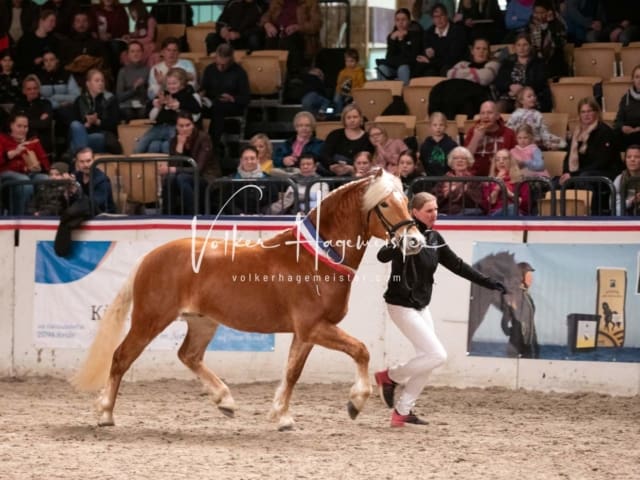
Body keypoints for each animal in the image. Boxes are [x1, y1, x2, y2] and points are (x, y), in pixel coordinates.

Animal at [71, 170, 424, 432]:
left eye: (406, 201)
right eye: (385, 204)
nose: (415, 241)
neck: (316, 259)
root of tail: (150, 257)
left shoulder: (306, 333)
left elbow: (292, 372)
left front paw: (282, 417)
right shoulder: (314, 327)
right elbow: (361, 351)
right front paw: (356, 402)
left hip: (202, 322)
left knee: (188, 355)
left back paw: (225, 401)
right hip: (150, 320)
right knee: (121, 358)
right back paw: (106, 414)